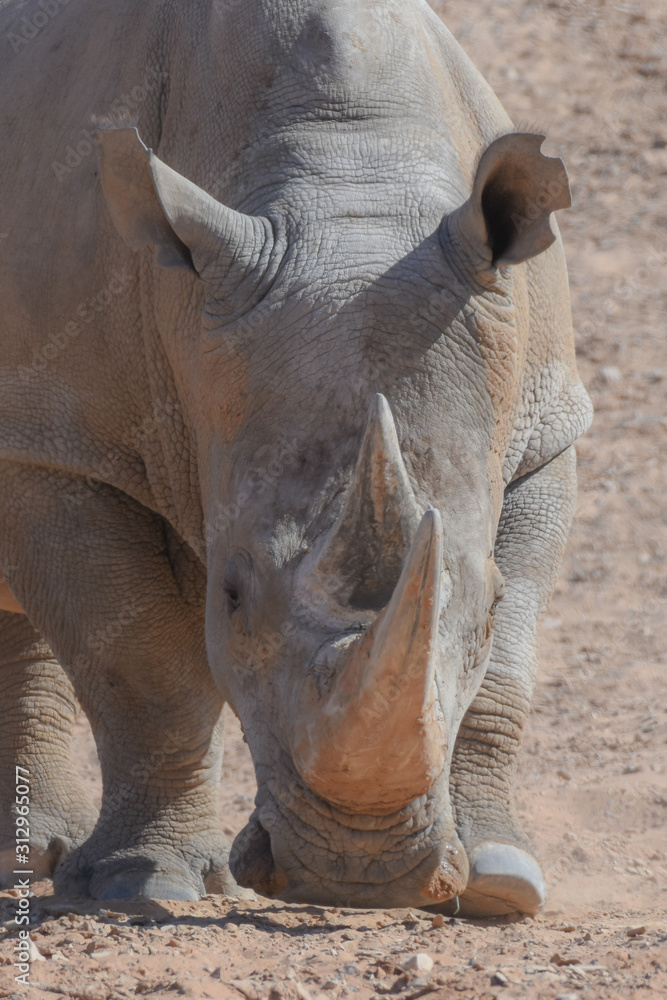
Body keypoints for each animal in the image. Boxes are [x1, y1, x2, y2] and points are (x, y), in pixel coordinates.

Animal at [0, 0, 592, 915]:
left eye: (486, 606)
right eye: (233, 595)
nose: (357, 877)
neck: (347, 175)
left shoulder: (541, 428)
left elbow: (506, 667)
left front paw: (500, 881)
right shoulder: (63, 443)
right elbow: (143, 666)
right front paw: (146, 885)